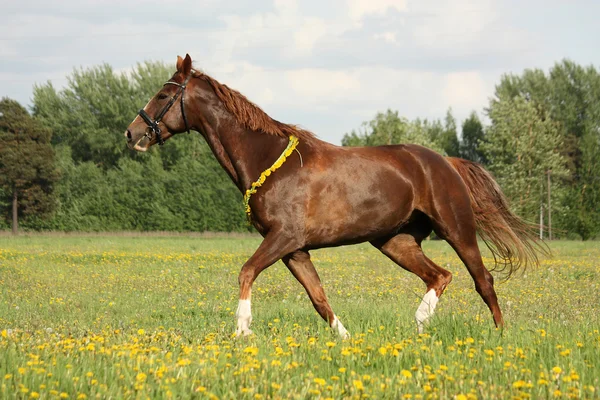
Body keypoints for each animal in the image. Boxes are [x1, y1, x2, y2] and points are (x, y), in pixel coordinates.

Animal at [125, 54, 544, 340]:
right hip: (395, 242)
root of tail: (446, 162)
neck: (267, 159)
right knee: (439, 276)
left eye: (163, 94)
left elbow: (246, 271)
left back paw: (500, 335)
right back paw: (421, 323)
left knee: (482, 280)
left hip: (457, 229)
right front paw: (344, 338)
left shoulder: (284, 238)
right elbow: (318, 297)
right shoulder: (294, 250)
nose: (132, 134)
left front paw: (243, 328)